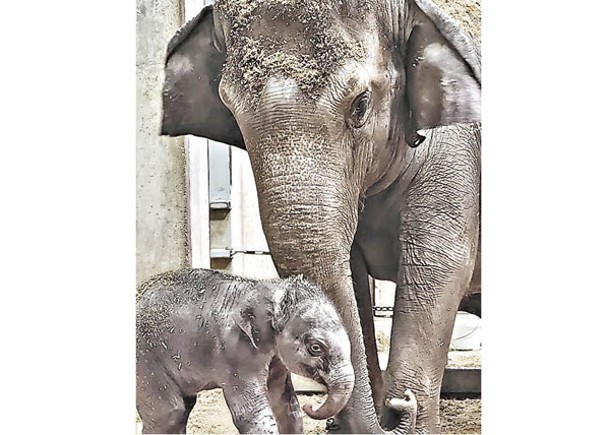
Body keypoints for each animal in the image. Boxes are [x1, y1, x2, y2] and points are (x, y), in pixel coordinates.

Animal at [135, 268, 354, 434]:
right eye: (315, 347)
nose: (312, 406)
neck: (266, 288)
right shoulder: (235, 353)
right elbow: (252, 414)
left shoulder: (275, 359)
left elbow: (287, 408)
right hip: (145, 361)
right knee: (170, 413)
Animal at [162, 1, 480, 434]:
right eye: (230, 110)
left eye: (360, 104)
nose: (400, 404)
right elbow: (352, 278)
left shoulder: (456, 158)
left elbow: (439, 267)